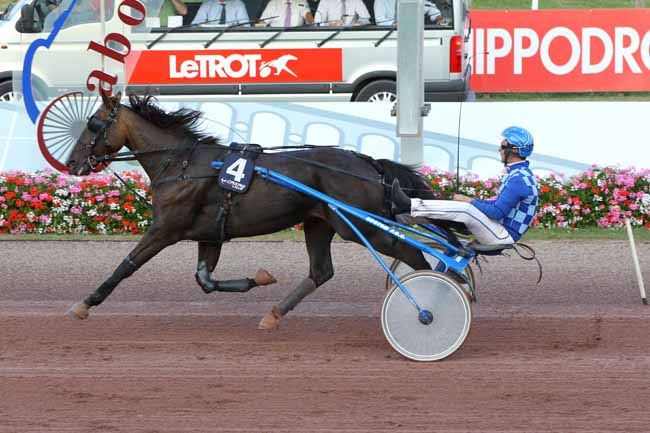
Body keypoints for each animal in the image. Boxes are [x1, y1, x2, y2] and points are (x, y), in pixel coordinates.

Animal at [64, 91, 438, 329]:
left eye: (94, 123)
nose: (71, 163)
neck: (182, 165)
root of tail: (367, 161)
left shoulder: (165, 229)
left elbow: (126, 265)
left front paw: (84, 304)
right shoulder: (209, 234)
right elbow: (205, 280)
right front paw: (260, 278)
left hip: (361, 226)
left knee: (414, 254)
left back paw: (430, 296)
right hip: (320, 223)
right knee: (321, 272)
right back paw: (274, 314)